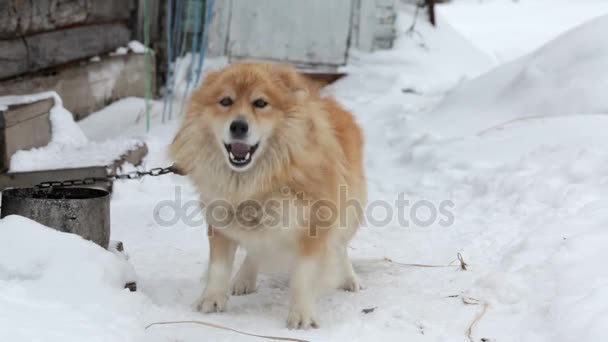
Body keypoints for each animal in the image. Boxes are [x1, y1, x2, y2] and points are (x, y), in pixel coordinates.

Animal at [171, 62, 368, 328]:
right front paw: (211, 300)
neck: (260, 180)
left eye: (260, 103)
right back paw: (244, 279)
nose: (238, 126)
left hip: (348, 211)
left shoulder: (314, 225)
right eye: (226, 101)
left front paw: (302, 315)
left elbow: (304, 275)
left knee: (340, 246)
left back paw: (349, 278)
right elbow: (218, 268)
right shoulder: (220, 221)